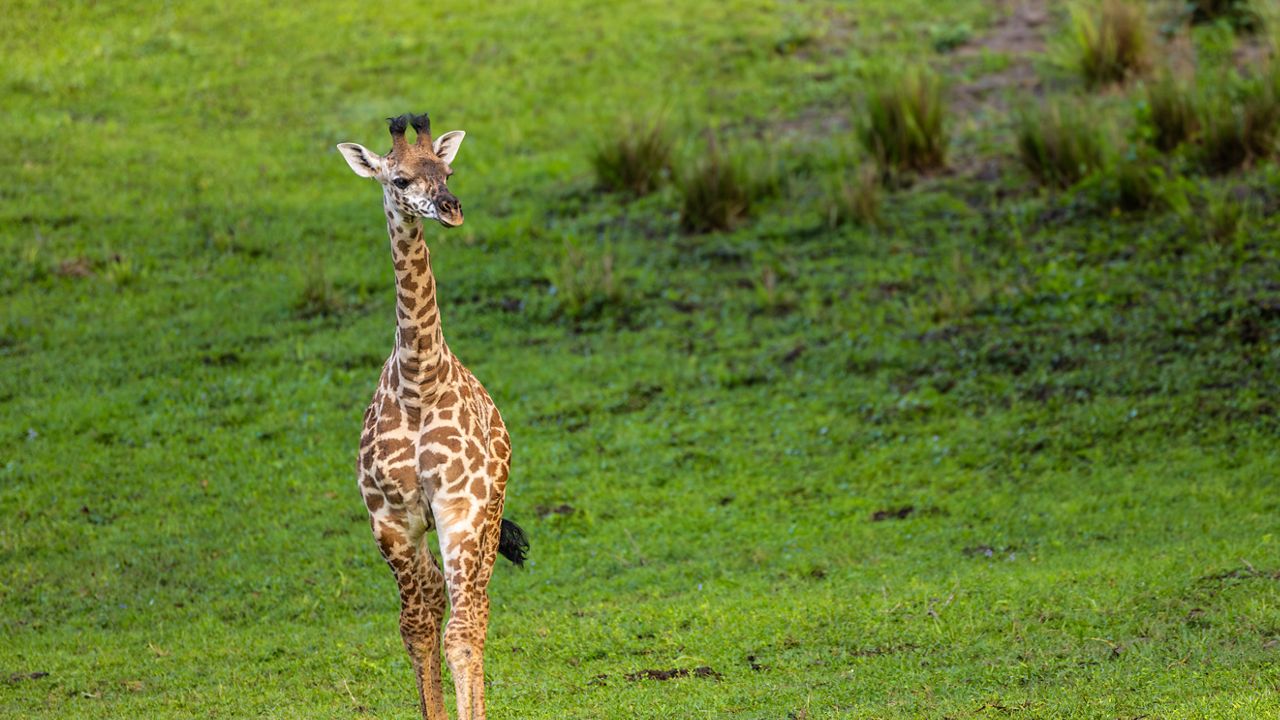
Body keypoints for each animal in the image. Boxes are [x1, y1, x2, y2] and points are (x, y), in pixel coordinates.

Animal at [337, 113, 528, 720]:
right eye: (398, 180)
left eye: (447, 172)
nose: (449, 207)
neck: (420, 382)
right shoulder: (391, 522)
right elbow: (416, 627)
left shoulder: (460, 509)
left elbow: (459, 635)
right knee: (437, 603)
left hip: (487, 517)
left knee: (475, 611)